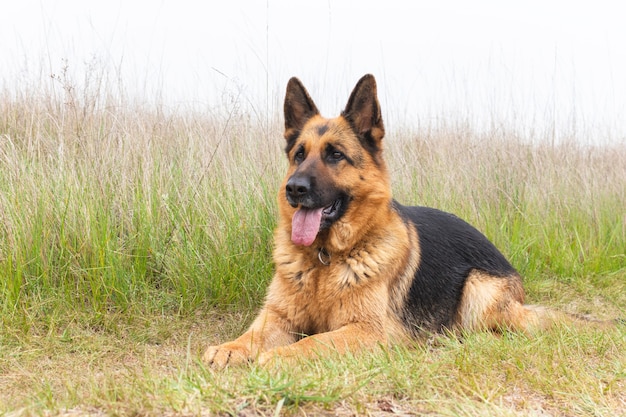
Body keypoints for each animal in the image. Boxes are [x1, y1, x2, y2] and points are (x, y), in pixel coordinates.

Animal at [202, 75, 564, 368]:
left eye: (336, 155)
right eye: (299, 155)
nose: (294, 188)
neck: (325, 258)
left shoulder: (368, 331)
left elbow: (315, 341)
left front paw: (281, 355)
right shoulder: (277, 315)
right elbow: (254, 333)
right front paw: (230, 347)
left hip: (477, 290)